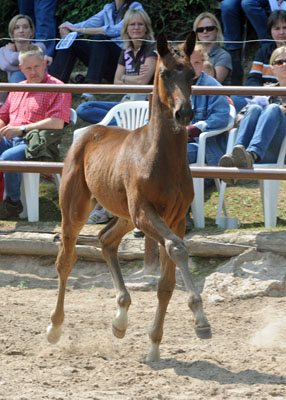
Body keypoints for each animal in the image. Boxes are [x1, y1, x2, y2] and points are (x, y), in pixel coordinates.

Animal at [47, 32, 211, 362]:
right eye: (165, 73)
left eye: (193, 75)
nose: (184, 113)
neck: (160, 158)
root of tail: (87, 133)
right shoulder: (146, 213)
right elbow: (177, 248)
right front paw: (201, 320)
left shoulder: (174, 219)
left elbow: (166, 282)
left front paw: (154, 346)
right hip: (77, 210)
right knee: (66, 260)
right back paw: (55, 328)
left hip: (124, 215)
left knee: (106, 240)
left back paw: (120, 320)